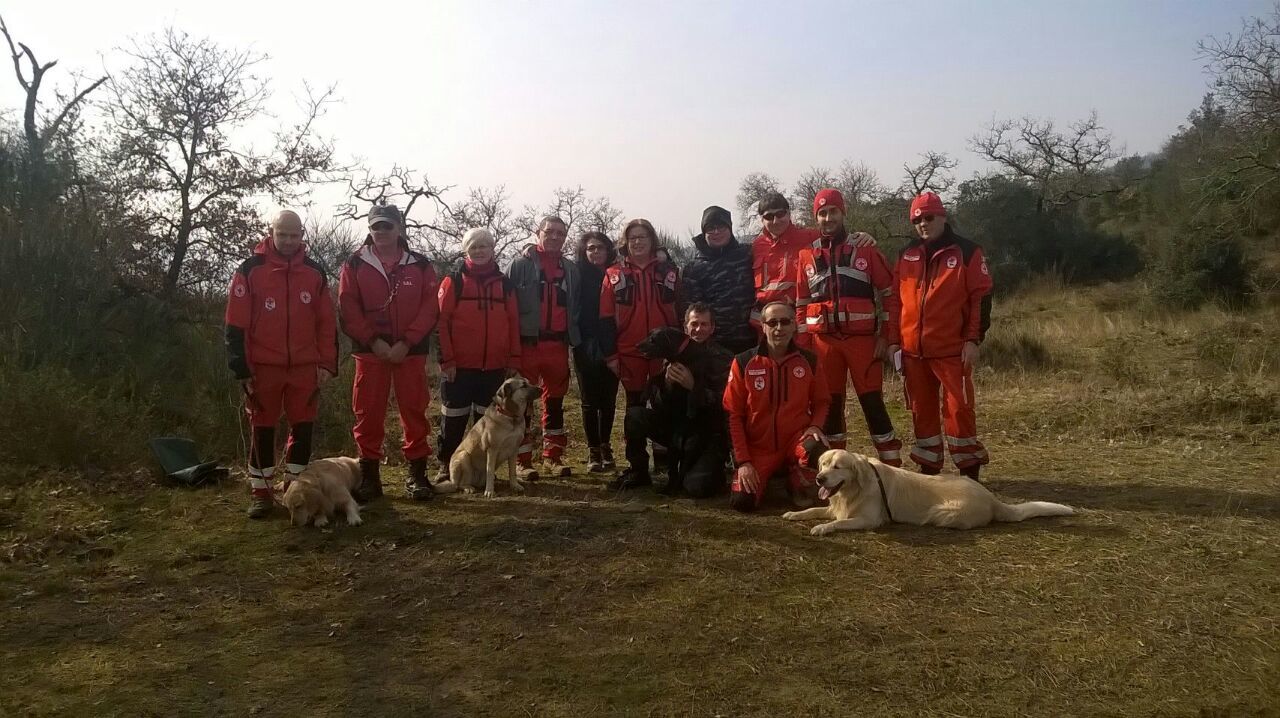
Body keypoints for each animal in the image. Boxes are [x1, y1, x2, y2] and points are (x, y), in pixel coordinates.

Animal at [783, 450, 1075, 534]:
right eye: (823, 463)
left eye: (838, 466)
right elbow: (813, 508)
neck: (853, 489)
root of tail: (991, 498)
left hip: (942, 511)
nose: (819, 478)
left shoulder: (868, 519)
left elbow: (839, 523)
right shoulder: (835, 506)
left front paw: (822, 528)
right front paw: (792, 514)